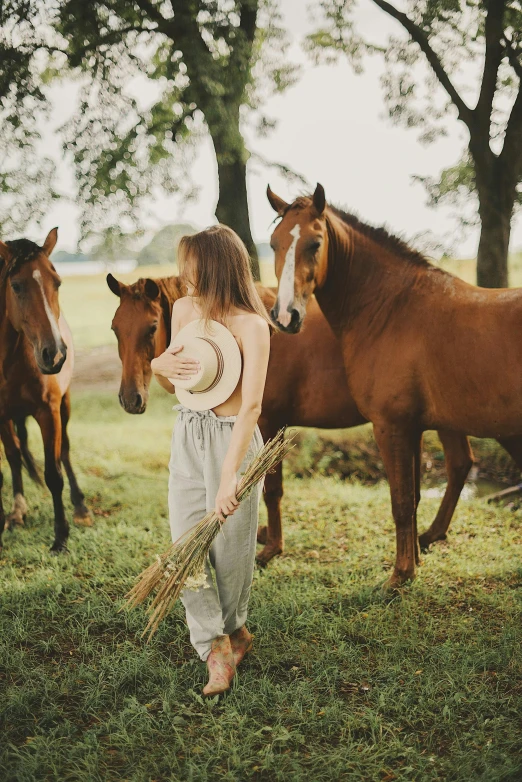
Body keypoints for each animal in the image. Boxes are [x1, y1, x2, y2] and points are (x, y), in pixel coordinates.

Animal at [0, 230, 90, 556]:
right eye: (16, 285)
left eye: (58, 283)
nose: (55, 354)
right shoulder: (2, 416)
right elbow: (13, 458)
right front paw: (15, 513)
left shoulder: (47, 411)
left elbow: (54, 473)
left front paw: (60, 537)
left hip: (64, 406)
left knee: (64, 450)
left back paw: (80, 507)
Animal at [107, 272, 474, 568]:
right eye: (115, 329)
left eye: (152, 328)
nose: (129, 399)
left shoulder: (268, 423)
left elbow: (271, 490)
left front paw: (272, 547)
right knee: (459, 465)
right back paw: (432, 534)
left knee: (457, 465)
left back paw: (432, 534)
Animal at [266, 184, 520, 588]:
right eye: (274, 243)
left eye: (315, 243)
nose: (285, 317)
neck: (390, 309)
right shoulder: (412, 429)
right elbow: (412, 499)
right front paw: (412, 562)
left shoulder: (391, 427)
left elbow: (400, 502)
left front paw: (400, 576)